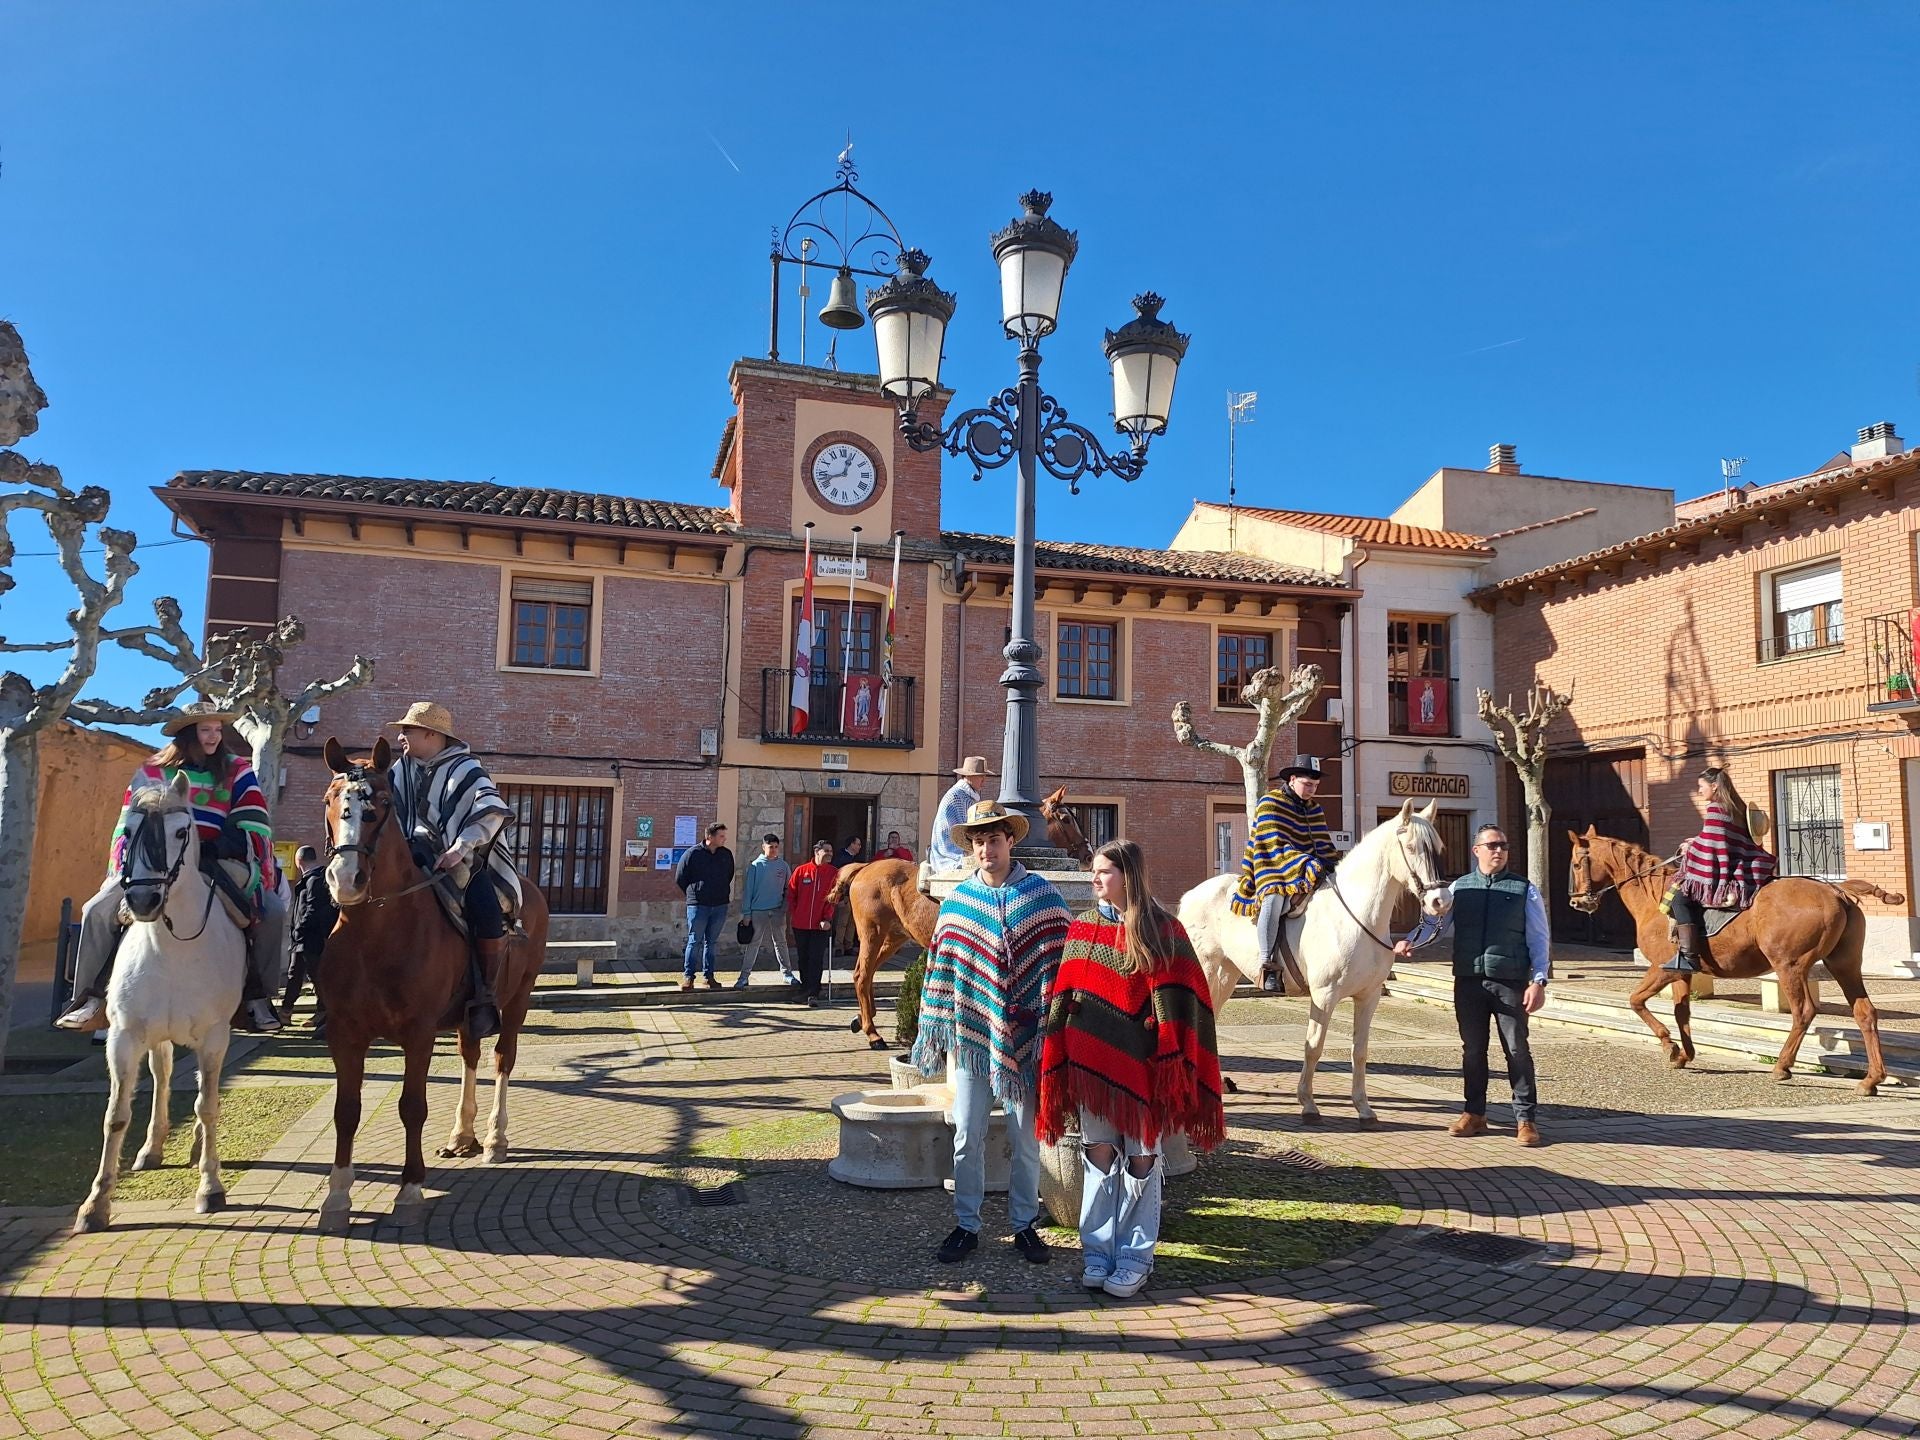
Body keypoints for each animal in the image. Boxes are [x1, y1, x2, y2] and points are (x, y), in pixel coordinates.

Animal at [74, 771, 247, 1236]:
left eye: (181, 831)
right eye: (127, 831)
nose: (142, 901)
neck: (172, 947)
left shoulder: (215, 1035)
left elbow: (208, 1104)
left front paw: (210, 1188)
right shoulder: (124, 1036)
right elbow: (116, 1114)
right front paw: (95, 1205)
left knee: (206, 1090)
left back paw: (197, 1147)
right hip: (156, 1036)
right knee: (164, 1076)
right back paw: (152, 1148)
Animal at [314, 744, 552, 1228]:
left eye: (382, 803)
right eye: (329, 799)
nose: (346, 879)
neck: (376, 933)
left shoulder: (419, 1034)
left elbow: (412, 1107)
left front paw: (409, 1189)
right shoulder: (344, 1033)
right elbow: (346, 1112)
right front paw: (337, 1197)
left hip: (519, 997)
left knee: (503, 1059)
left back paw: (495, 1140)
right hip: (469, 1015)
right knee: (471, 1056)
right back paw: (463, 1134)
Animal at [829, 791, 1098, 1052]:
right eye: (1066, 819)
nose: (1088, 855)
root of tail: (865, 867)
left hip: (893, 937)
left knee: (867, 973)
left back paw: (863, 1018)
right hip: (872, 932)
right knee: (863, 974)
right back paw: (873, 1034)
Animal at [1175, 802, 1443, 1128]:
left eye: (1437, 848)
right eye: (1412, 847)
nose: (1440, 900)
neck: (1358, 918)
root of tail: (1190, 895)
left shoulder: (1369, 996)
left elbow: (1360, 1050)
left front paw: (1364, 1108)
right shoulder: (1324, 995)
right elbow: (1313, 1046)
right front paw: (1308, 1104)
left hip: (1225, 975)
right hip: (1207, 971)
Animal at [1566, 829, 1896, 1098]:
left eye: (1576, 864)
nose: (1577, 902)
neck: (1654, 899)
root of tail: (1836, 891)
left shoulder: (1662, 969)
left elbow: (1636, 1001)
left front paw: (1670, 1046)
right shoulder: (1681, 973)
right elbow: (1681, 1011)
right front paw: (1684, 1053)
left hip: (1789, 966)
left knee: (1803, 1012)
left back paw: (1782, 1066)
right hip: (1844, 965)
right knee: (1865, 1013)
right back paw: (1871, 1080)